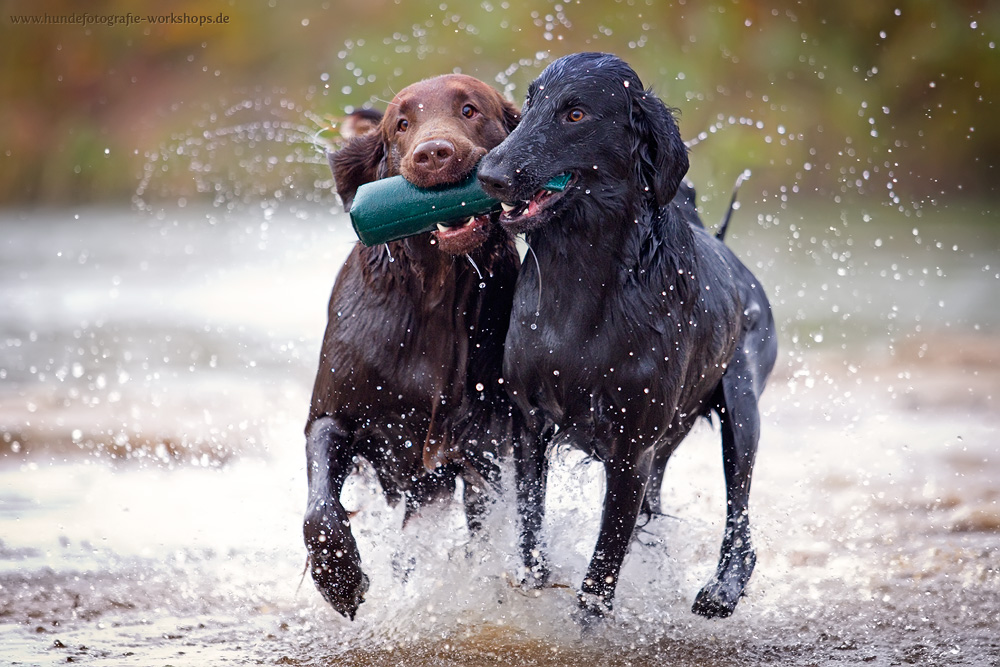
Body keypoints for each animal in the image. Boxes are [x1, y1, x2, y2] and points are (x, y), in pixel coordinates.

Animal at [480, 53, 776, 620]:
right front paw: (534, 583)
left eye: (575, 113)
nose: (488, 175)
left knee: (742, 516)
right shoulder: (528, 426)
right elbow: (531, 537)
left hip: (741, 408)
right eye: (531, 102)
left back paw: (723, 589)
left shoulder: (629, 452)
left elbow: (599, 577)